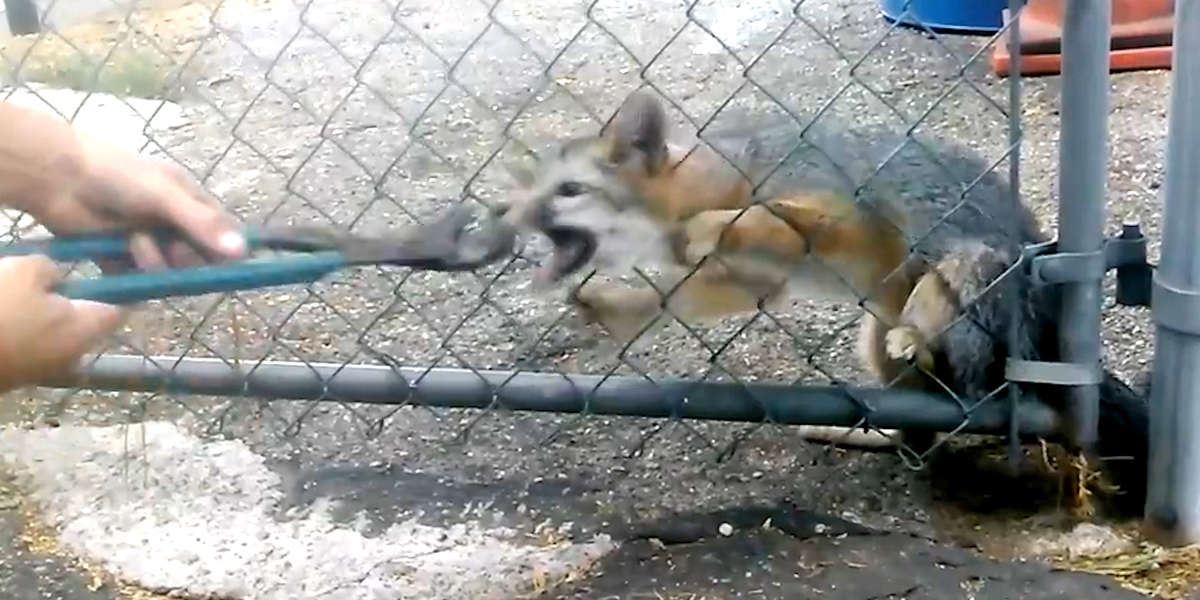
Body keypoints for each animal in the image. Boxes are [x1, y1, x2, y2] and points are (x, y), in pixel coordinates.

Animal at [499, 91, 1149, 508]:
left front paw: (710, 226)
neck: (717, 179)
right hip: (874, 339)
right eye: (530, 190)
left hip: (959, 271)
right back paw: (869, 431)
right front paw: (611, 308)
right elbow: (671, 296)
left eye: (568, 190)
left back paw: (917, 342)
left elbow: (757, 216)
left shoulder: (842, 212)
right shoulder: (756, 281)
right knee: (923, 425)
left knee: (947, 375)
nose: (505, 215)